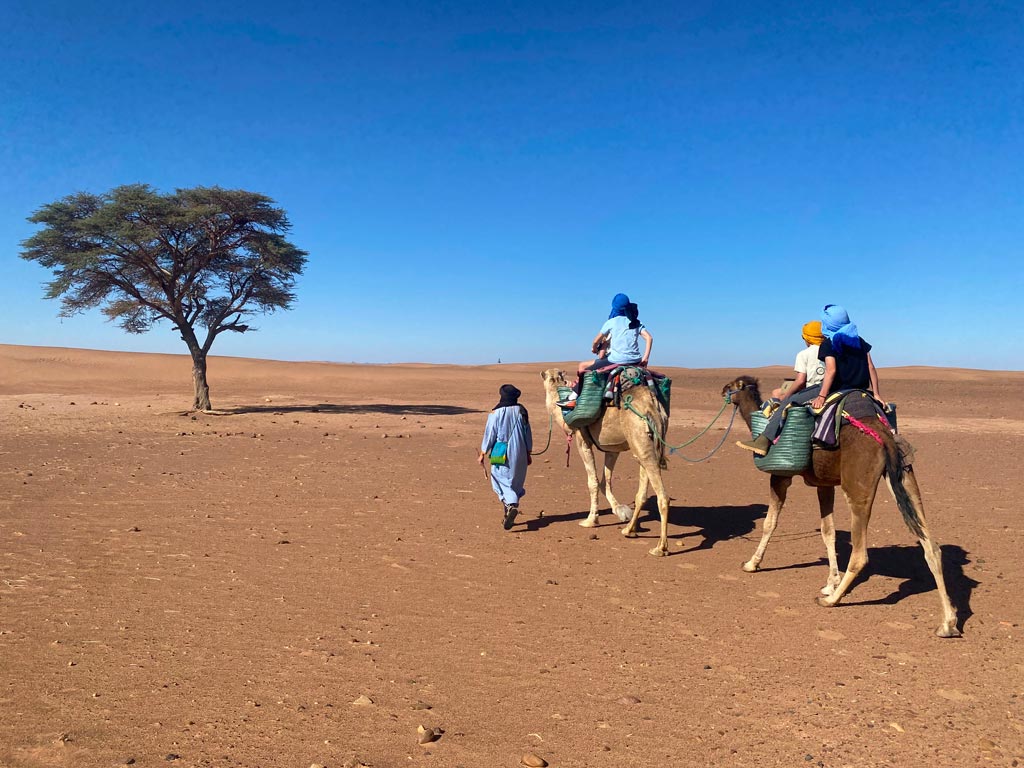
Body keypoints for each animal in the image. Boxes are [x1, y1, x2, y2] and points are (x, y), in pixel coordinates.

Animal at [540, 370, 675, 557]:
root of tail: (651, 402)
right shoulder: (612, 448)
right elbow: (605, 481)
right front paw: (621, 511)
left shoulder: (582, 439)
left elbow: (593, 482)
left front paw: (591, 520)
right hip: (647, 442)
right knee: (642, 491)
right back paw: (629, 530)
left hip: (640, 438)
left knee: (663, 496)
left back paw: (660, 548)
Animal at [720, 376, 958, 638]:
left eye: (732, 385)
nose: (722, 390)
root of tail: (883, 434)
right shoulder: (823, 484)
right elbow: (828, 531)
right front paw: (830, 582)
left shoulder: (780, 477)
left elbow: (770, 523)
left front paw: (752, 564)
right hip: (905, 475)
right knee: (931, 547)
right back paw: (948, 623)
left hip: (857, 485)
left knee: (860, 554)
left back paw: (831, 601)